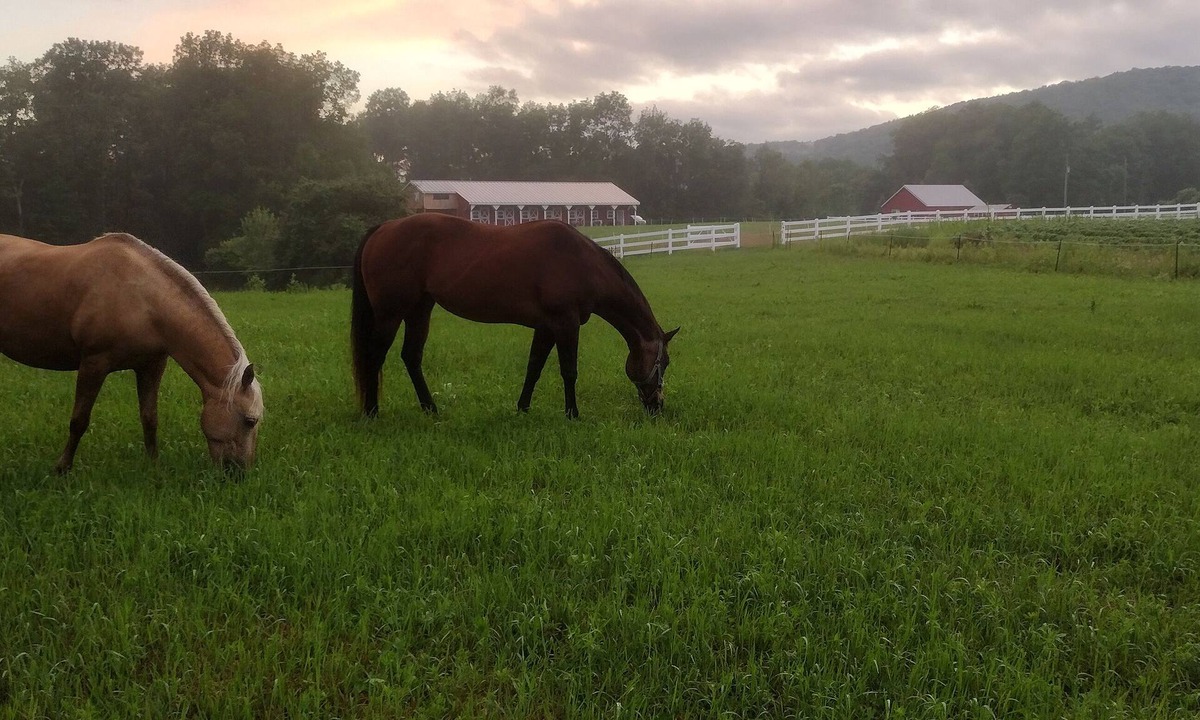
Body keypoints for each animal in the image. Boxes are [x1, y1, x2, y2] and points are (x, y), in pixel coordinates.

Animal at [0, 232, 263, 473]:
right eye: (250, 421)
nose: (239, 473)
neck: (143, 300)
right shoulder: (93, 364)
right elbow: (79, 421)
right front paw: (62, 468)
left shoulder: (151, 366)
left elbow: (150, 418)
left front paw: (154, 465)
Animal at [351, 213, 678, 419]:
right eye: (663, 362)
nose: (657, 406)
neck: (581, 262)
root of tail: (384, 227)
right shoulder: (566, 324)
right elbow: (569, 371)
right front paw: (572, 414)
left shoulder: (546, 328)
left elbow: (533, 368)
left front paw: (522, 409)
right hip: (391, 313)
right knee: (375, 356)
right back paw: (372, 412)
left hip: (419, 310)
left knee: (411, 356)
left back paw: (431, 409)